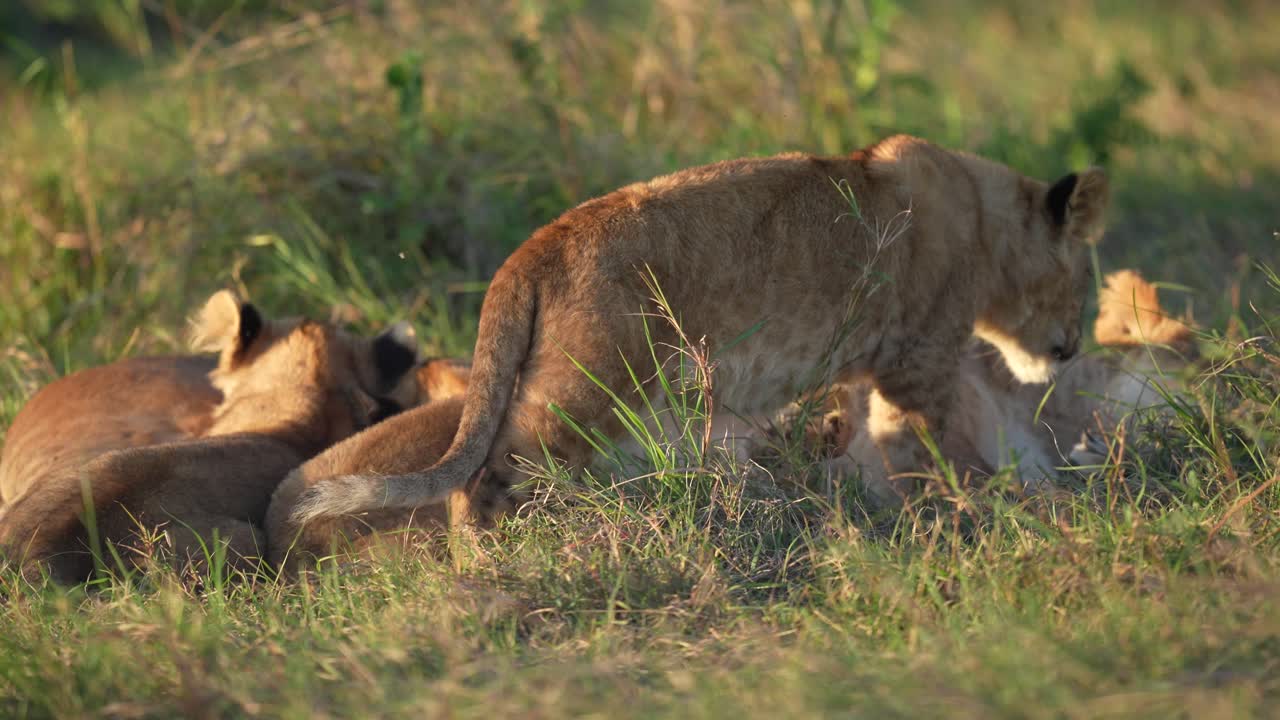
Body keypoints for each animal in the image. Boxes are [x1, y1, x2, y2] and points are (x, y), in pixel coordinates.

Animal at [291, 134, 1109, 527]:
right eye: (1087, 282)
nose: (1071, 349)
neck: (985, 220)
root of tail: (533, 248)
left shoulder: (884, 368)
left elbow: (880, 442)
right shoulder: (920, 360)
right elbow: (924, 448)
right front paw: (960, 511)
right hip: (591, 385)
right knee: (488, 474)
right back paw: (482, 571)